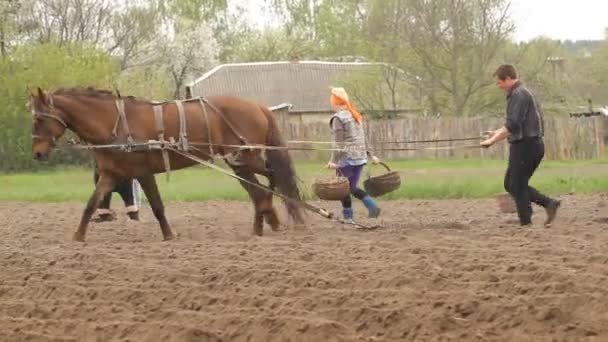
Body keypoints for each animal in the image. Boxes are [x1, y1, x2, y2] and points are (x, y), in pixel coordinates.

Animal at [28, 87, 304, 242]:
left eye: (40, 119)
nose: (37, 153)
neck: (115, 123)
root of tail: (258, 106)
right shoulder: (110, 174)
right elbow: (90, 204)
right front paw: (78, 237)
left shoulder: (143, 172)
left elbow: (158, 206)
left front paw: (169, 235)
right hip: (239, 162)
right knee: (259, 188)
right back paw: (263, 223)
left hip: (245, 158)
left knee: (269, 179)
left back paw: (267, 215)